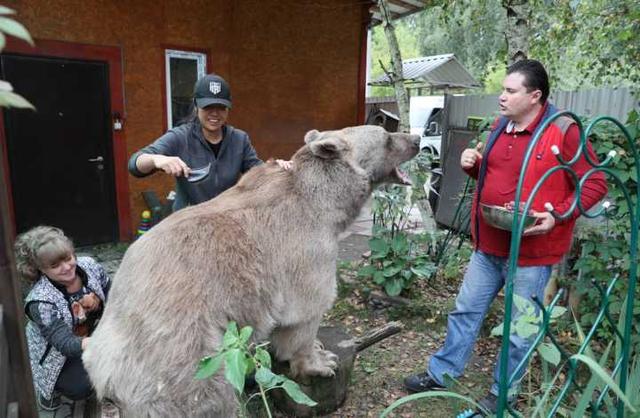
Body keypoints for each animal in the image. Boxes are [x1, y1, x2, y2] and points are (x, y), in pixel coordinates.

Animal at [84, 125, 420, 416]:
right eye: (387, 137)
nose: (416, 139)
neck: (323, 200)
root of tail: (103, 374)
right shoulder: (305, 247)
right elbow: (306, 310)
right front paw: (321, 360)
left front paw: (320, 347)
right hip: (181, 357)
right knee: (206, 397)